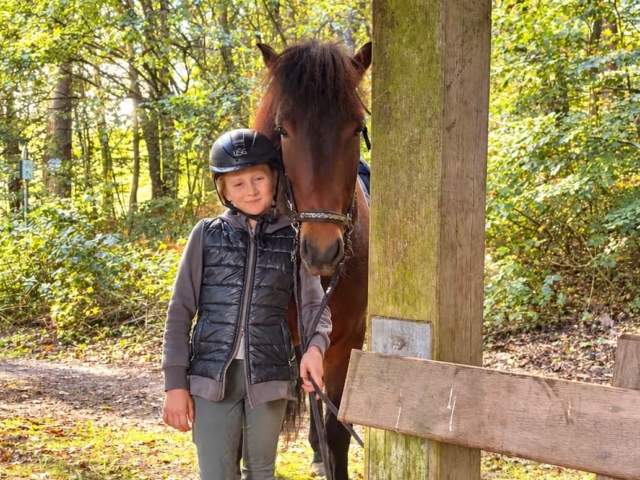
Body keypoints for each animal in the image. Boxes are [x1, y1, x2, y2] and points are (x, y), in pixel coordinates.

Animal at [252, 40, 372, 480]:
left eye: (356, 128)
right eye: (284, 130)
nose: (321, 252)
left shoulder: (347, 340)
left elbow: (336, 429)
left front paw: (328, 450)